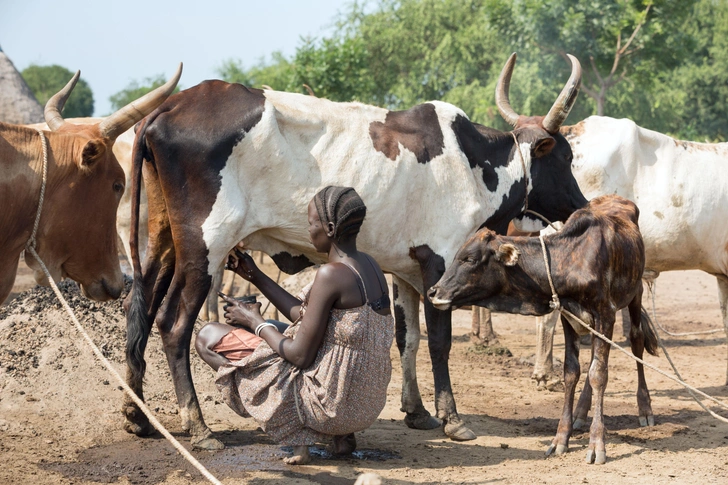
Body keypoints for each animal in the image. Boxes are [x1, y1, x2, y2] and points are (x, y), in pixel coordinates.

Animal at [121, 51, 584, 448]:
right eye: (565, 157)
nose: (581, 204)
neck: (474, 163)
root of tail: (169, 107)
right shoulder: (440, 263)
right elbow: (439, 342)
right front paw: (452, 419)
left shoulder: (406, 269)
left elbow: (408, 339)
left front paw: (417, 412)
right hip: (205, 249)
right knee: (173, 325)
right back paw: (198, 427)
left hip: (165, 245)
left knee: (139, 313)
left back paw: (137, 415)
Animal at [430, 195, 664, 464]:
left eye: (469, 259)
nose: (433, 292)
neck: (572, 257)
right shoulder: (569, 316)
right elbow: (573, 372)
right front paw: (561, 438)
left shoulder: (605, 315)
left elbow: (599, 374)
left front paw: (597, 444)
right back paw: (581, 412)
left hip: (635, 295)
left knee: (635, 341)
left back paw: (644, 407)